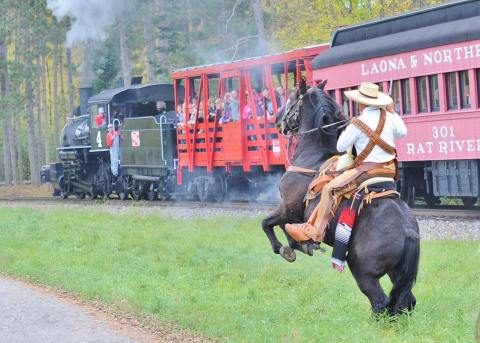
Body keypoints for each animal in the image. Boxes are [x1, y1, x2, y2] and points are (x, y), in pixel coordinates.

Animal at [262, 80, 420, 318]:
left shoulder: (289, 207)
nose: (277, 119)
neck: (313, 155)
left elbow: (269, 223)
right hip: (398, 274)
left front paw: (287, 248)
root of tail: (408, 231)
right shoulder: (293, 213)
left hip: (364, 272)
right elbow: (283, 226)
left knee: (380, 303)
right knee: (406, 302)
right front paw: (300, 244)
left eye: (291, 97)